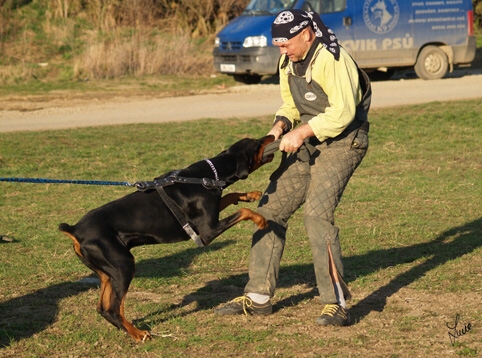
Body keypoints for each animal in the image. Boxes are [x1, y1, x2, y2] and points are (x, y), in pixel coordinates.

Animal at [58, 134, 274, 342]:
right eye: (257, 143)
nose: (271, 136)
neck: (206, 177)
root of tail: (75, 230)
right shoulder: (208, 232)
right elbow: (243, 211)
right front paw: (261, 219)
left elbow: (229, 197)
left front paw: (250, 194)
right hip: (123, 266)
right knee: (113, 308)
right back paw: (138, 334)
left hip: (106, 273)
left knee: (103, 308)